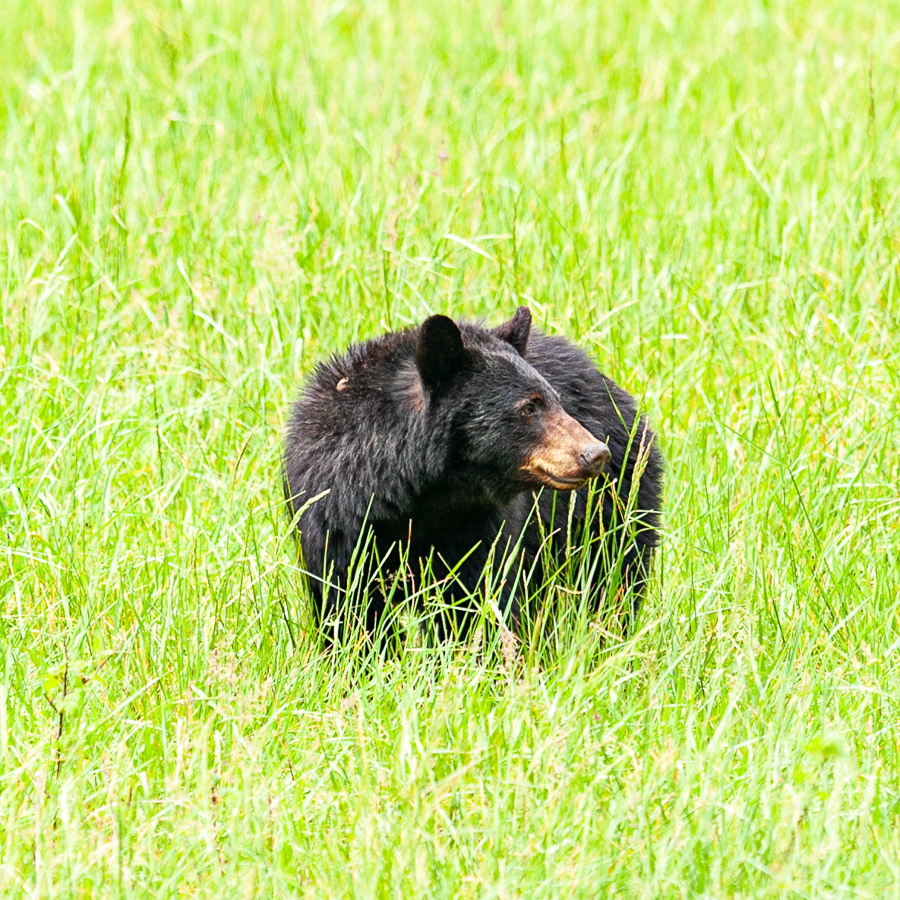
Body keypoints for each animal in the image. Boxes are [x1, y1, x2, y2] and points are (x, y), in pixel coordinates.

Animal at [282, 306, 663, 646]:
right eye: (528, 407)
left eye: (556, 400)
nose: (595, 454)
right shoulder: (332, 518)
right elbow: (350, 611)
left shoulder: (481, 523)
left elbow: (476, 598)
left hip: (612, 508)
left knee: (615, 580)